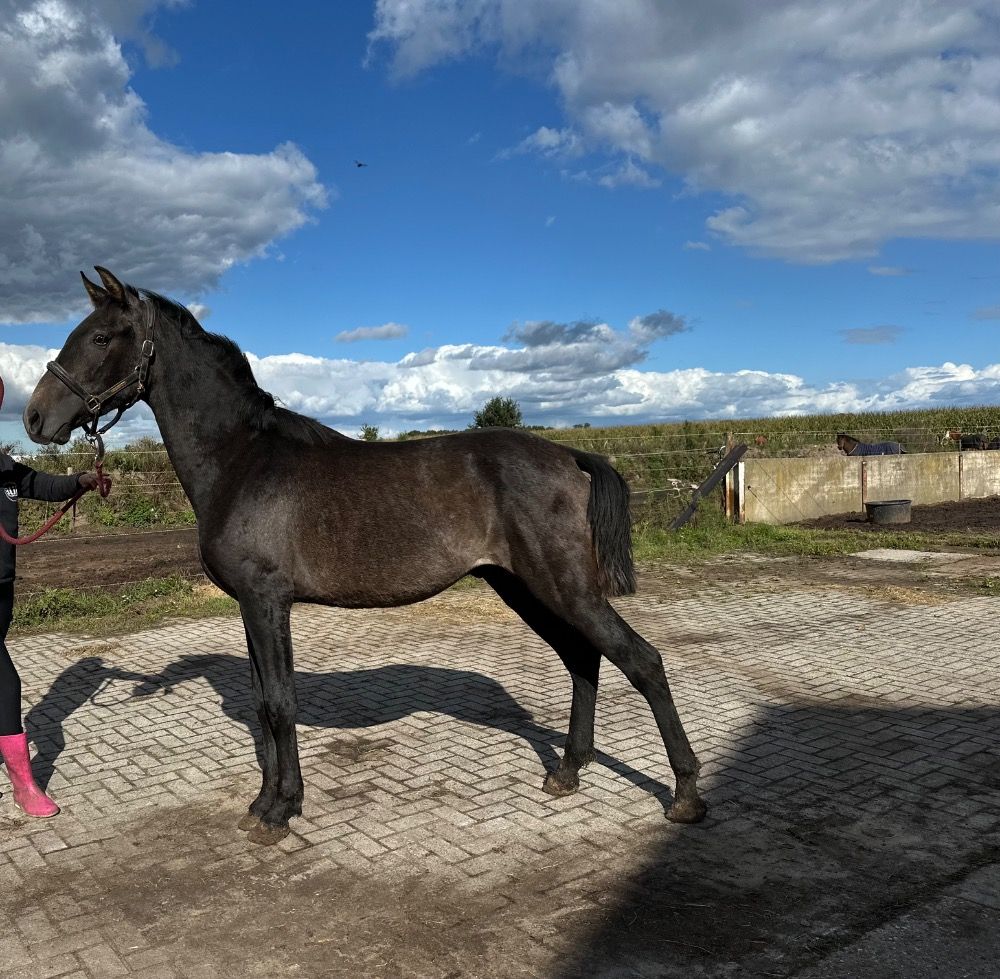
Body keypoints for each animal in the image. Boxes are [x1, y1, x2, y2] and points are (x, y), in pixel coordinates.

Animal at [23, 268, 706, 845]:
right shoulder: (251, 606)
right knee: (582, 660)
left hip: (563, 587)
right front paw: (266, 802)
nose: (33, 418)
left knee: (640, 662)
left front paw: (281, 810)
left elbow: (280, 703)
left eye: (101, 336)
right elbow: (263, 703)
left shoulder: (267, 601)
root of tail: (569, 455)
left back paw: (684, 795)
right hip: (524, 587)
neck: (241, 461)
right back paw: (567, 772)